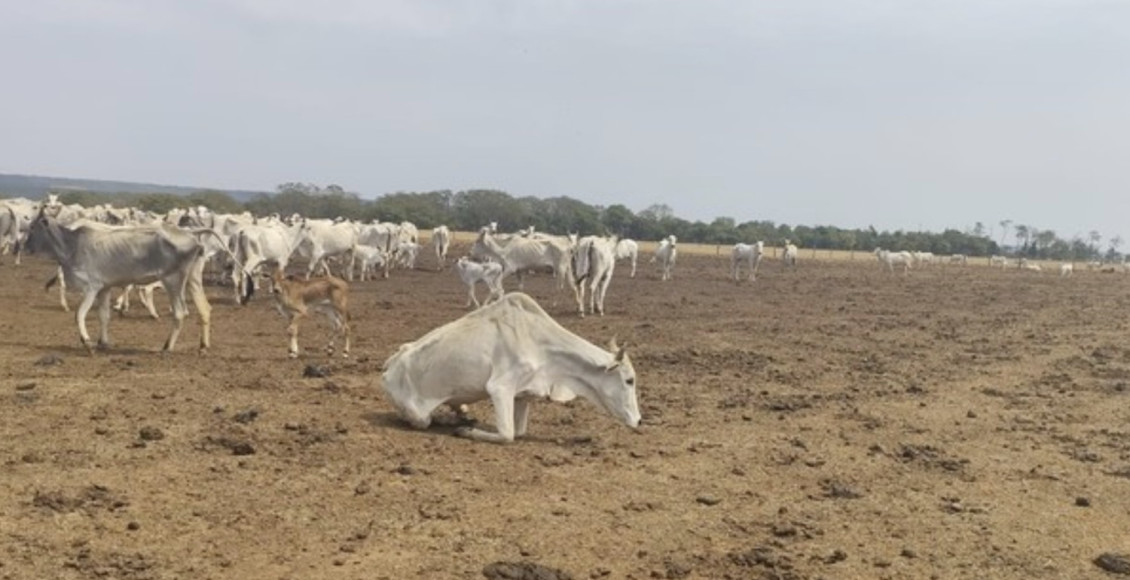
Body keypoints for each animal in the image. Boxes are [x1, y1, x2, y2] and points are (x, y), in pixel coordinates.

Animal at [23, 208, 254, 352]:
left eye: (33, 228)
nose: (25, 247)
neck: (71, 245)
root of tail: (188, 233)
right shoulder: (104, 288)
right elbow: (104, 316)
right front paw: (103, 342)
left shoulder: (91, 288)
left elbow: (79, 314)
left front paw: (87, 342)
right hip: (193, 279)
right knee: (205, 309)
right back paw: (203, 346)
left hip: (172, 281)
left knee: (180, 312)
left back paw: (167, 347)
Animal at [381, 293, 641, 443]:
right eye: (629, 380)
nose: (639, 421)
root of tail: (387, 369)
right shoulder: (500, 388)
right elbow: (508, 435)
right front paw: (467, 433)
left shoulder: (524, 395)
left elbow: (520, 432)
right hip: (418, 415)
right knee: (422, 420)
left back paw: (460, 414)